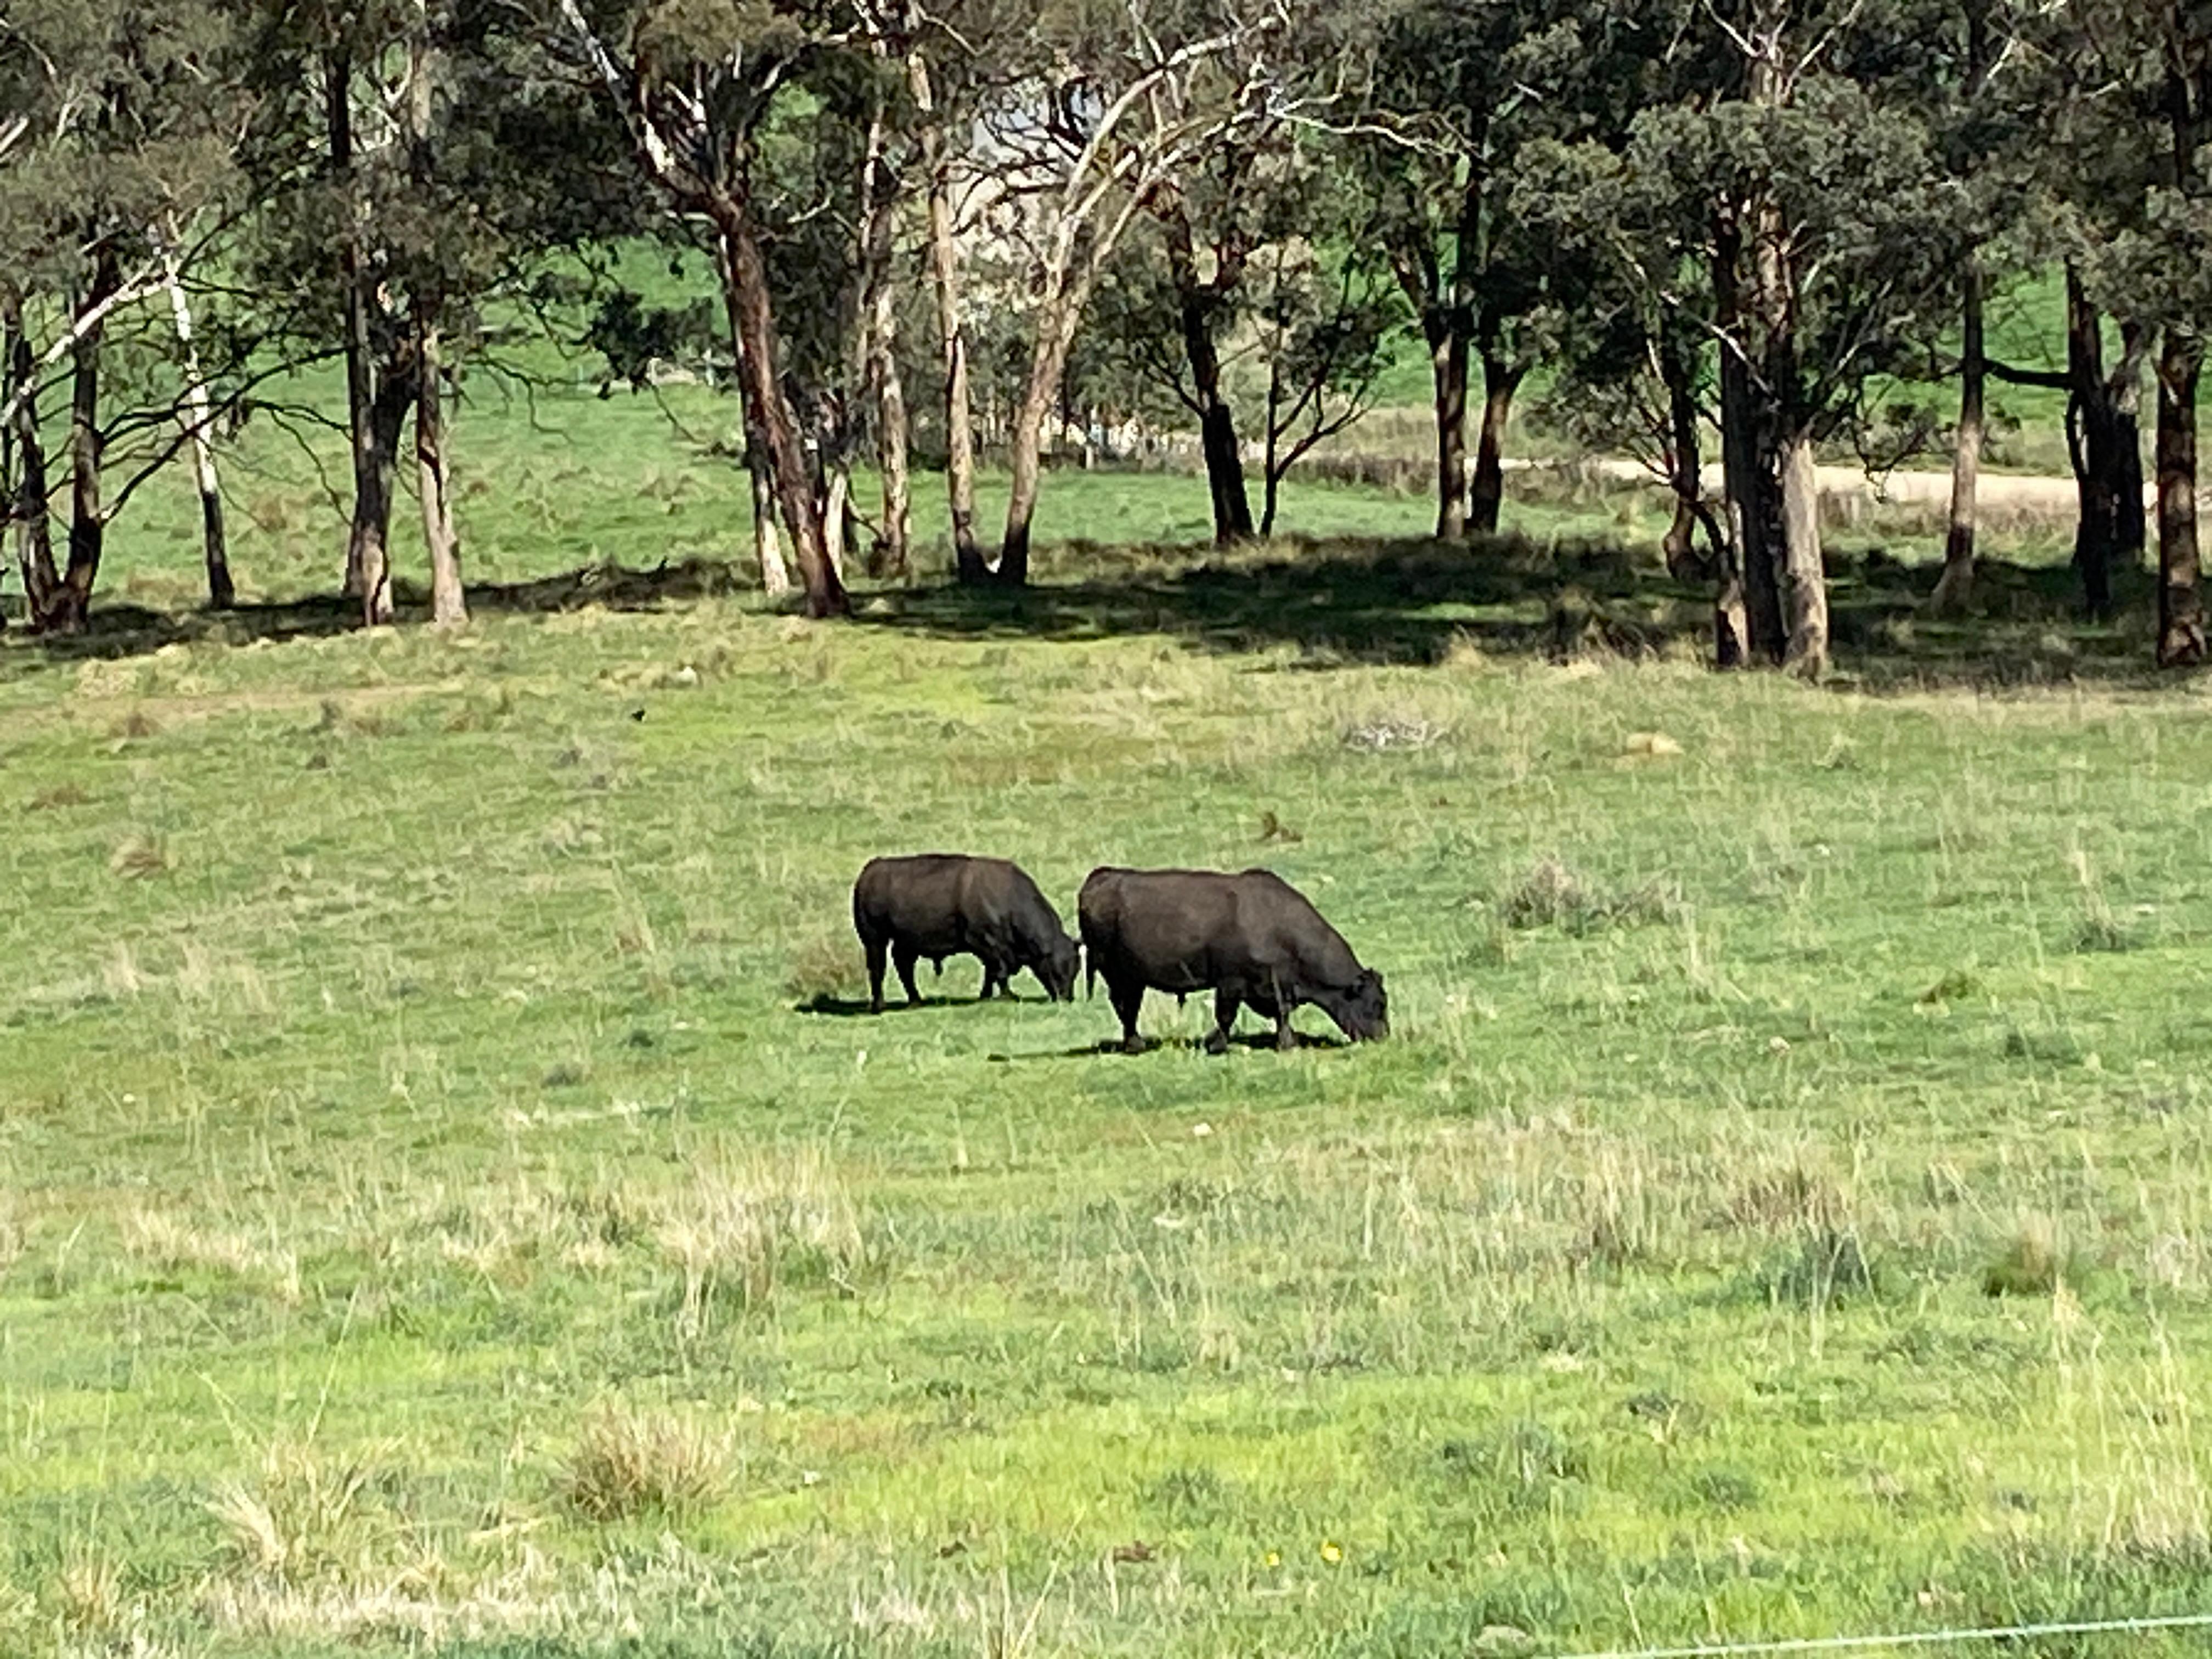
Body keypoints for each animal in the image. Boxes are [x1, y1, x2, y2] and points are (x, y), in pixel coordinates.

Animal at [852, 854, 1081, 1013]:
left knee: (904, 967)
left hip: (905, 943)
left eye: (1076, 969)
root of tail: (870, 870)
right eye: (1057, 970)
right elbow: (999, 971)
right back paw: (879, 1006)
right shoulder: (986, 944)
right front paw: (1008, 996)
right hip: (874, 939)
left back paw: (916, 1001)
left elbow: (991, 973)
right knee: (878, 969)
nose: (1066, 997)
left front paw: (986, 995)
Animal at [1077, 866, 1388, 1054]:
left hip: (1133, 978)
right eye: (1377, 1004)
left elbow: (1282, 1014)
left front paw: (1287, 1042)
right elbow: (1226, 1016)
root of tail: (1103, 876)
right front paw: (1217, 1045)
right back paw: (1135, 1044)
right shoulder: (1231, 983)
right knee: (1125, 1007)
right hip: (1117, 974)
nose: (1383, 1037)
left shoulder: (1276, 986)